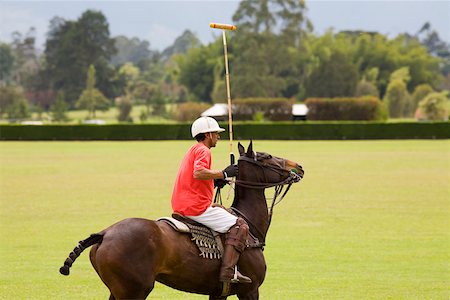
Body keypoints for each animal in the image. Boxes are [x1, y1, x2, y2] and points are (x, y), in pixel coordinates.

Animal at [59, 142, 302, 298]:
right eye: (267, 156)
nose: (299, 167)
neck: (248, 221)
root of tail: (105, 233)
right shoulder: (250, 290)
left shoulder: (218, 293)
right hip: (133, 290)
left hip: (118, 289)